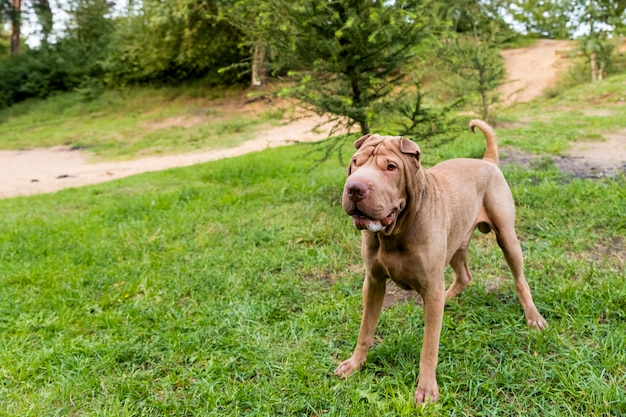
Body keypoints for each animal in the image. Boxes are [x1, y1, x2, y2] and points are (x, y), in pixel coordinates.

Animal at [334, 119, 544, 404]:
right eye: (356, 162)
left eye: (391, 167)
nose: (354, 188)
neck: (396, 230)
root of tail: (487, 161)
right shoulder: (374, 283)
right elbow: (365, 329)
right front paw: (355, 363)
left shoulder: (430, 284)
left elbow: (429, 346)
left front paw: (426, 389)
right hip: (456, 243)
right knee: (464, 275)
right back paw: (448, 298)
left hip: (507, 239)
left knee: (520, 279)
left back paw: (533, 317)